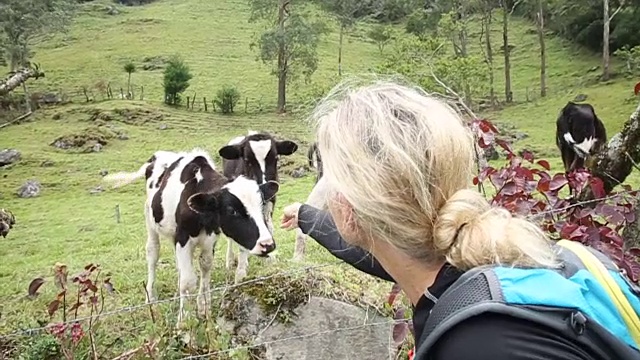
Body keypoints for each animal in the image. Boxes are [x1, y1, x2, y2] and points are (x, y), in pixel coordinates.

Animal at [102, 149, 278, 324]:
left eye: (262, 205)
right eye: (232, 210)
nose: (267, 244)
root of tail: (156, 156)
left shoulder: (210, 238)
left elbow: (205, 267)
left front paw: (204, 308)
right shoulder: (183, 237)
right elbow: (187, 282)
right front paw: (184, 320)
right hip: (150, 219)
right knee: (153, 253)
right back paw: (151, 297)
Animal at [219, 131, 298, 272]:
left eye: (276, 158)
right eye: (246, 159)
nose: (264, 184)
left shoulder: (270, 200)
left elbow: (269, 225)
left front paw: (271, 257)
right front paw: (243, 263)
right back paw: (230, 260)